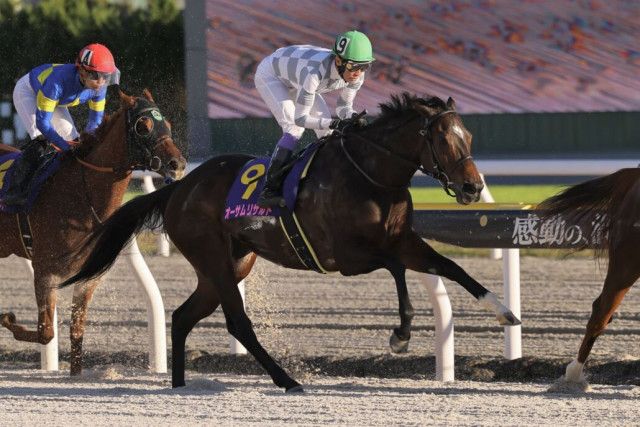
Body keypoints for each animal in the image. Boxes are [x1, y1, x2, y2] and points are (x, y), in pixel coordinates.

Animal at [0, 89, 186, 376]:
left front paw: (75, 374)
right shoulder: (45, 269)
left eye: (168, 124)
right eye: (143, 126)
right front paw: (7, 318)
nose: (177, 163)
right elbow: (46, 332)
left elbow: (76, 332)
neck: (80, 195)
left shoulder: (89, 277)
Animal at [58, 93, 520, 391]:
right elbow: (396, 269)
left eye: (469, 138)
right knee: (237, 322)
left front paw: (504, 312)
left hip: (230, 264)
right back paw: (286, 379)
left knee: (184, 315)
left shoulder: (402, 239)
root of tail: (179, 187)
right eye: (443, 139)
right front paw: (401, 334)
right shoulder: (345, 256)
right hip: (213, 257)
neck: (371, 175)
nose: (473, 187)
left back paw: (179, 384)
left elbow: (450, 267)